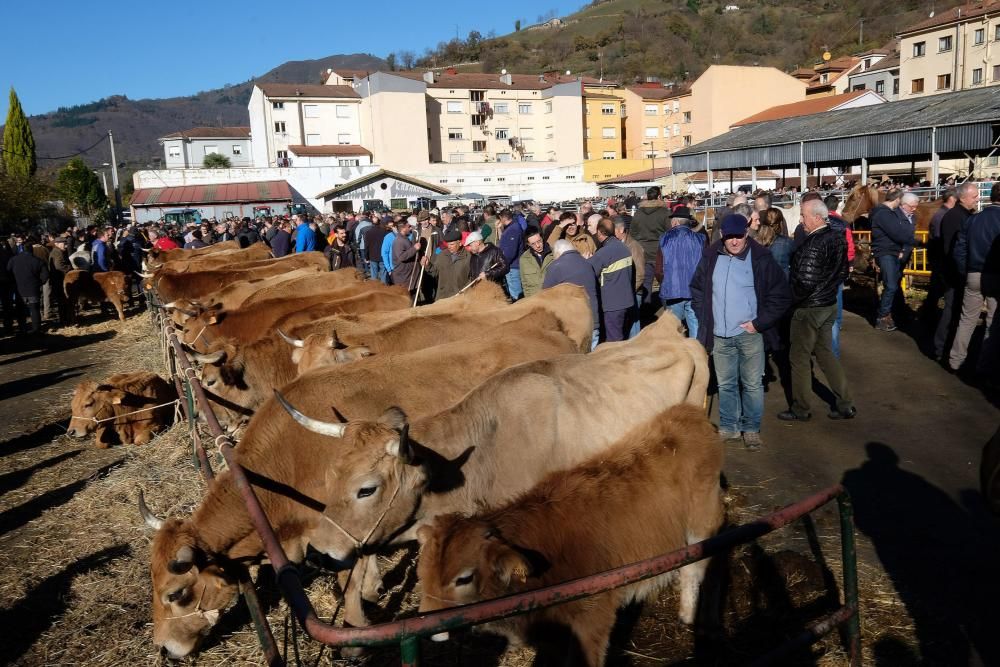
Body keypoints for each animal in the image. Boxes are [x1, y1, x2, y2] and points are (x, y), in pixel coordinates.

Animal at [416, 404, 728, 664]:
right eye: (421, 575)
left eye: (464, 578)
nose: (431, 632)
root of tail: (692, 414)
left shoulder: (594, 616)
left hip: (702, 522)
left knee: (699, 568)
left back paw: (693, 617)